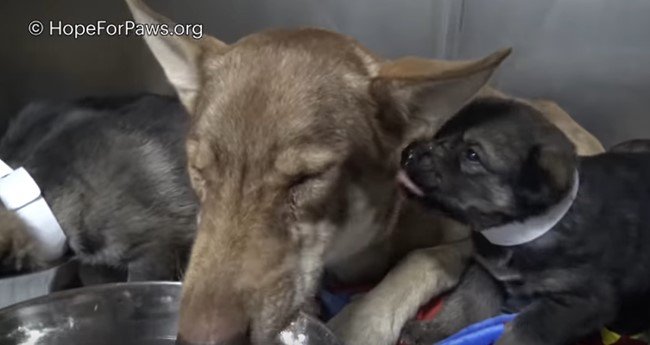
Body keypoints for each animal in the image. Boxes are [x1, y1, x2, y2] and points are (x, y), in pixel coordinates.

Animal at [126, 1, 604, 342]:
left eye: (307, 179)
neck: (354, 247)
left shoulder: (465, 239)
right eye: (200, 171)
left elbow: (412, 266)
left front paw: (359, 322)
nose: (200, 338)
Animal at [398, 97, 648, 344]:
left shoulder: (582, 299)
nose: (408, 153)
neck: (518, 231)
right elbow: (465, 305)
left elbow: (524, 329)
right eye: (440, 135)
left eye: (472, 155)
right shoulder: (486, 272)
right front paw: (431, 332)